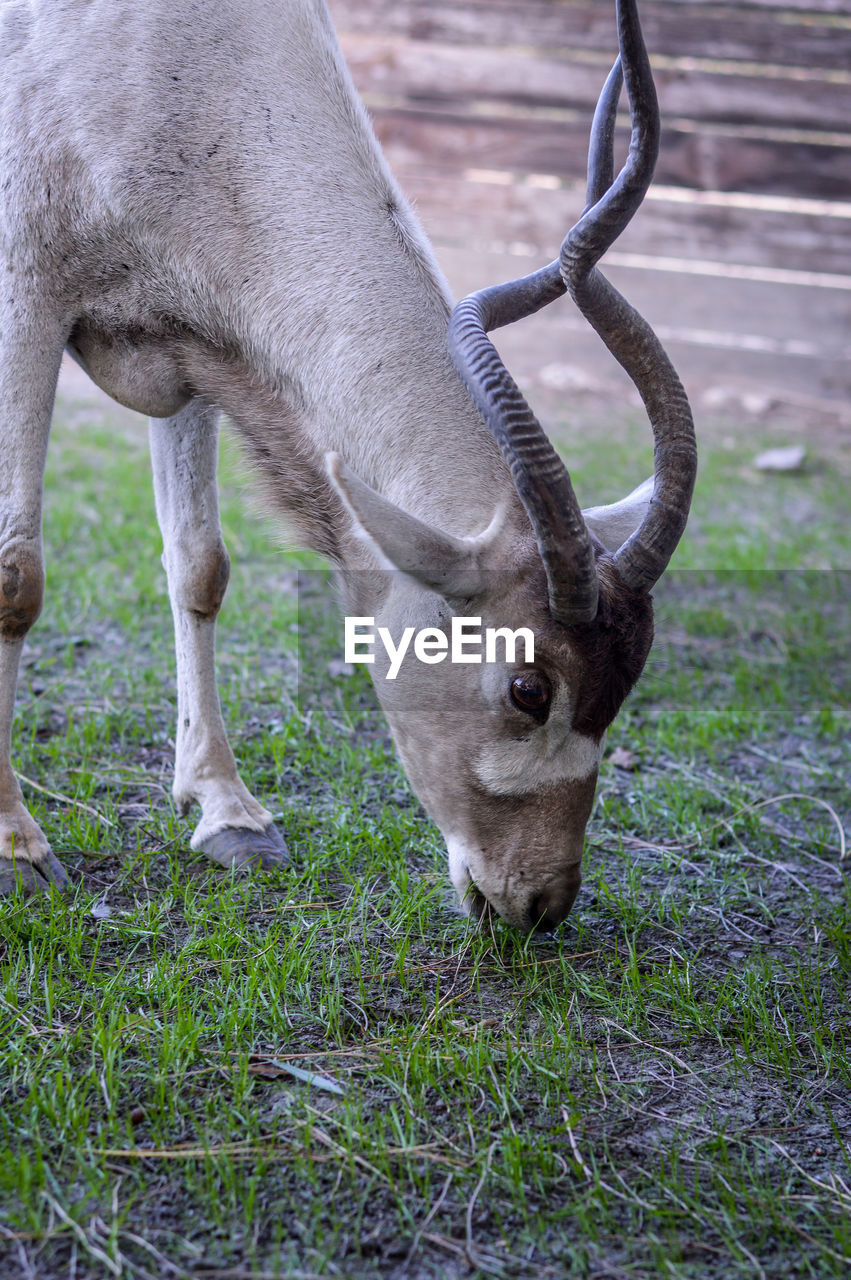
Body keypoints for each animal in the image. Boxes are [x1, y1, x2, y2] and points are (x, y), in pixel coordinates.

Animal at [0, 0, 696, 931]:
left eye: (621, 688)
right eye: (527, 688)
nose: (540, 903)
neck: (181, 61)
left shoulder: (186, 338)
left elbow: (199, 567)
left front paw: (228, 812)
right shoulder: (28, 297)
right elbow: (18, 578)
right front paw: (16, 845)